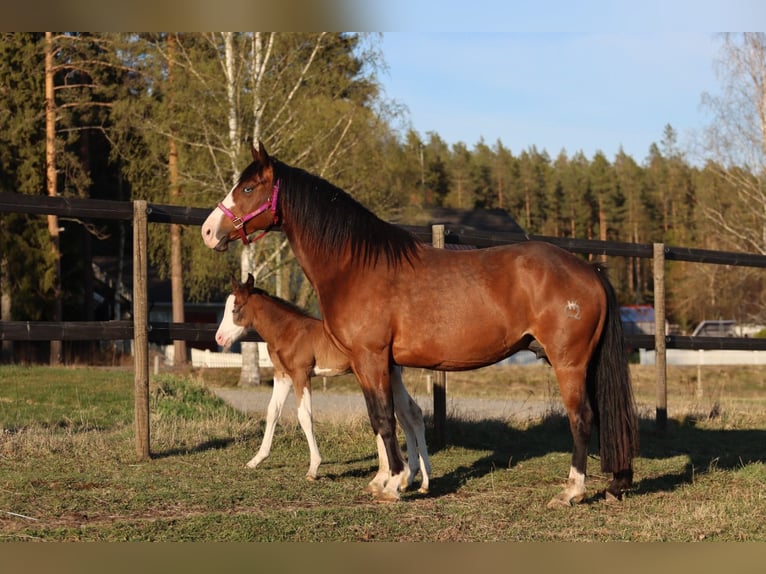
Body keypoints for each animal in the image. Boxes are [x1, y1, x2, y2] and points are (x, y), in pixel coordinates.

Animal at [215, 273, 431, 494]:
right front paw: (256, 459)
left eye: (235, 309)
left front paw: (313, 468)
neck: (288, 332)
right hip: (391, 377)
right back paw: (416, 479)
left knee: (404, 414)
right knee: (409, 413)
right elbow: (272, 411)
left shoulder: (301, 375)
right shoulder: (282, 375)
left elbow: (304, 416)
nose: (219, 338)